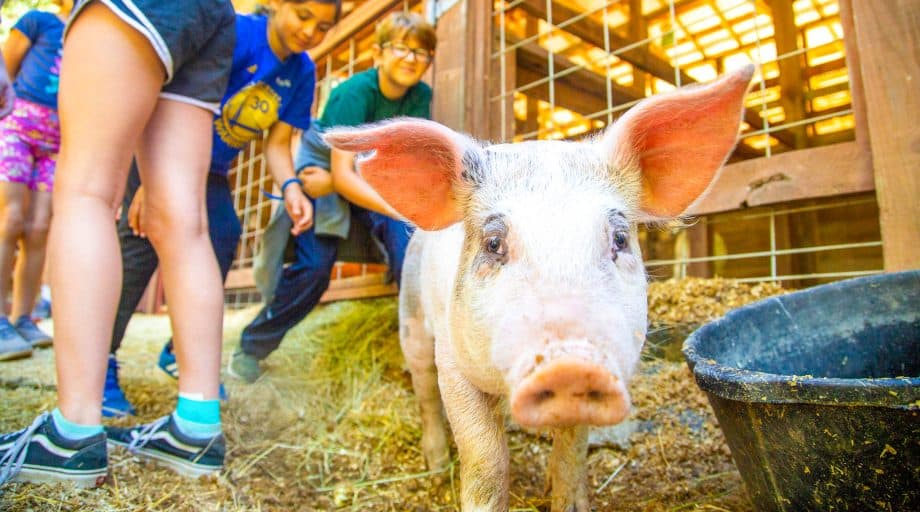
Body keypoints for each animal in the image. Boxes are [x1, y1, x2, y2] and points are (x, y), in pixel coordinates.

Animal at [326, 65, 756, 512]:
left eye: (620, 239)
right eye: (493, 243)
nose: (570, 364)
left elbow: (572, 449)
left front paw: (567, 499)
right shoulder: (453, 362)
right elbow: (485, 458)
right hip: (411, 320)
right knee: (424, 391)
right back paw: (436, 463)